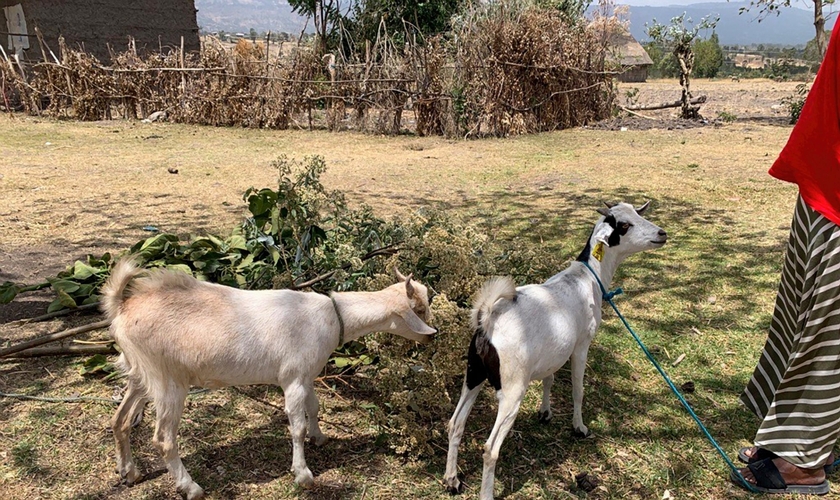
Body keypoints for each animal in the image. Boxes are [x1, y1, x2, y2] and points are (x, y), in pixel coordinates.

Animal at [101, 258, 436, 500]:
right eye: (419, 309)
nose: (434, 336)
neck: (331, 316)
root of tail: (122, 308)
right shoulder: (293, 378)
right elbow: (297, 426)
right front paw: (303, 475)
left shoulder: (307, 374)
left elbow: (314, 408)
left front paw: (320, 437)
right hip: (168, 381)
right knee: (163, 439)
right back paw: (191, 487)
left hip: (139, 374)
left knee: (120, 421)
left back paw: (129, 472)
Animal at [442, 201, 668, 498]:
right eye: (624, 225)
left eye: (637, 213)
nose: (662, 234)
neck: (588, 278)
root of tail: (488, 319)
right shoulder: (582, 343)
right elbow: (577, 389)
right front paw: (579, 427)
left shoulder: (554, 351)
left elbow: (549, 378)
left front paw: (545, 412)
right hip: (512, 388)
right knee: (490, 448)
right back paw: (486, 492)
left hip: (474, 374)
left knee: (455, 424)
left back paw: (452, 479)